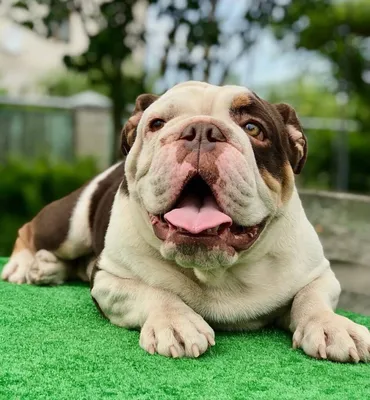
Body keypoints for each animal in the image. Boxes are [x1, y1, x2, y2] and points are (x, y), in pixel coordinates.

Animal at [1, 82, 368, 362]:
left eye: (253, 128)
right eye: (157, 124)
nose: (202, 130)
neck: (217, 271)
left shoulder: (318, 273)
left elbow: (312, 297)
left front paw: (332, 325)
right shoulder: (109, 279)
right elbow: (151, 289)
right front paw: (175, 320)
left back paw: (47, 269)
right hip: (69, 224)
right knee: (31, 230)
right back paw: (23, 265)